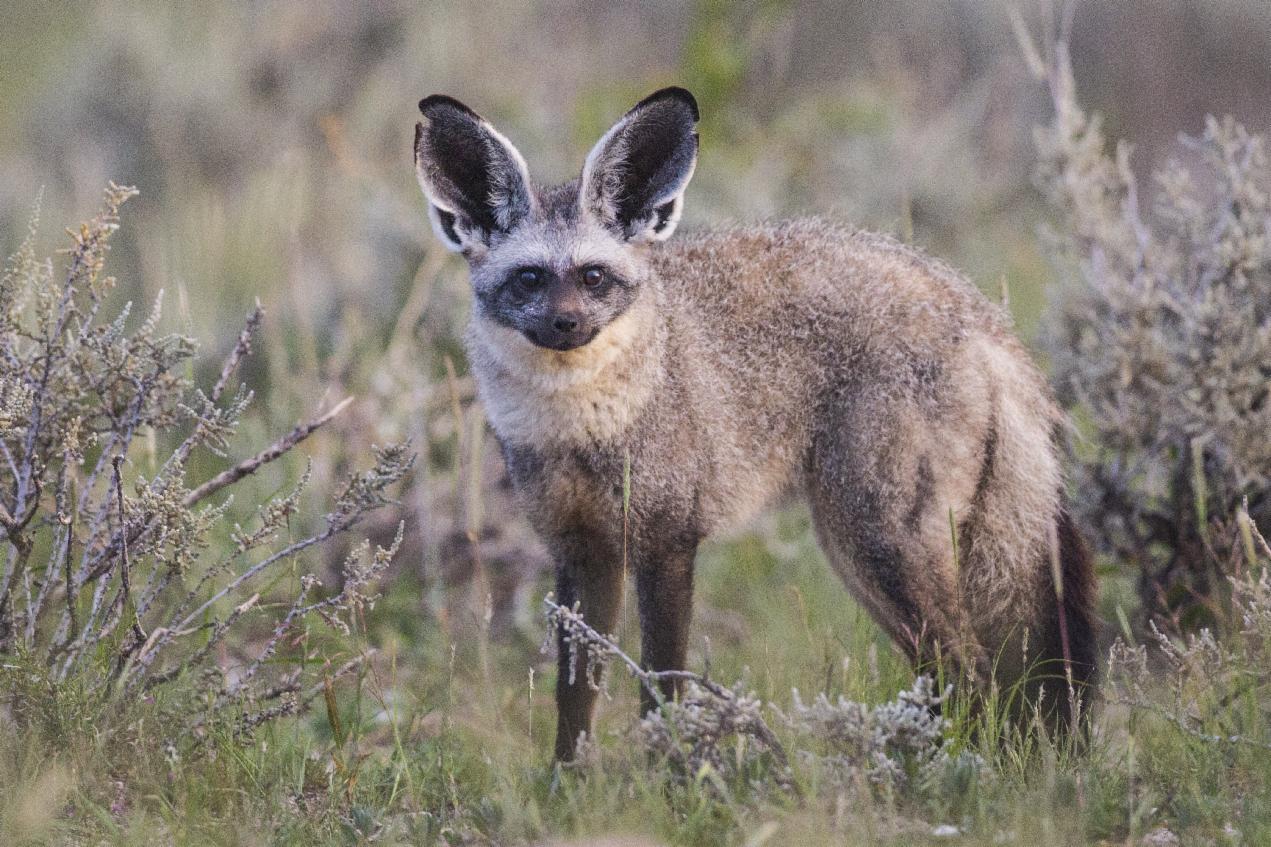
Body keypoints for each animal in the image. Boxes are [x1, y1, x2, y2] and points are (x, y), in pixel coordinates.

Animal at [414, 85, 1093, 757]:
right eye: (529, 278)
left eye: (593, 277)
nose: (567, 324)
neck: (584, 429)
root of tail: (974, 309)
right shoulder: (582, 552)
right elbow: (575, 701)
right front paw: (568, 779)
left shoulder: (667, 542)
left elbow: (662, 690)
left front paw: (670, 773)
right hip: (863, 556)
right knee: (953, 677)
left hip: (877, 543)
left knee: (971, 672)